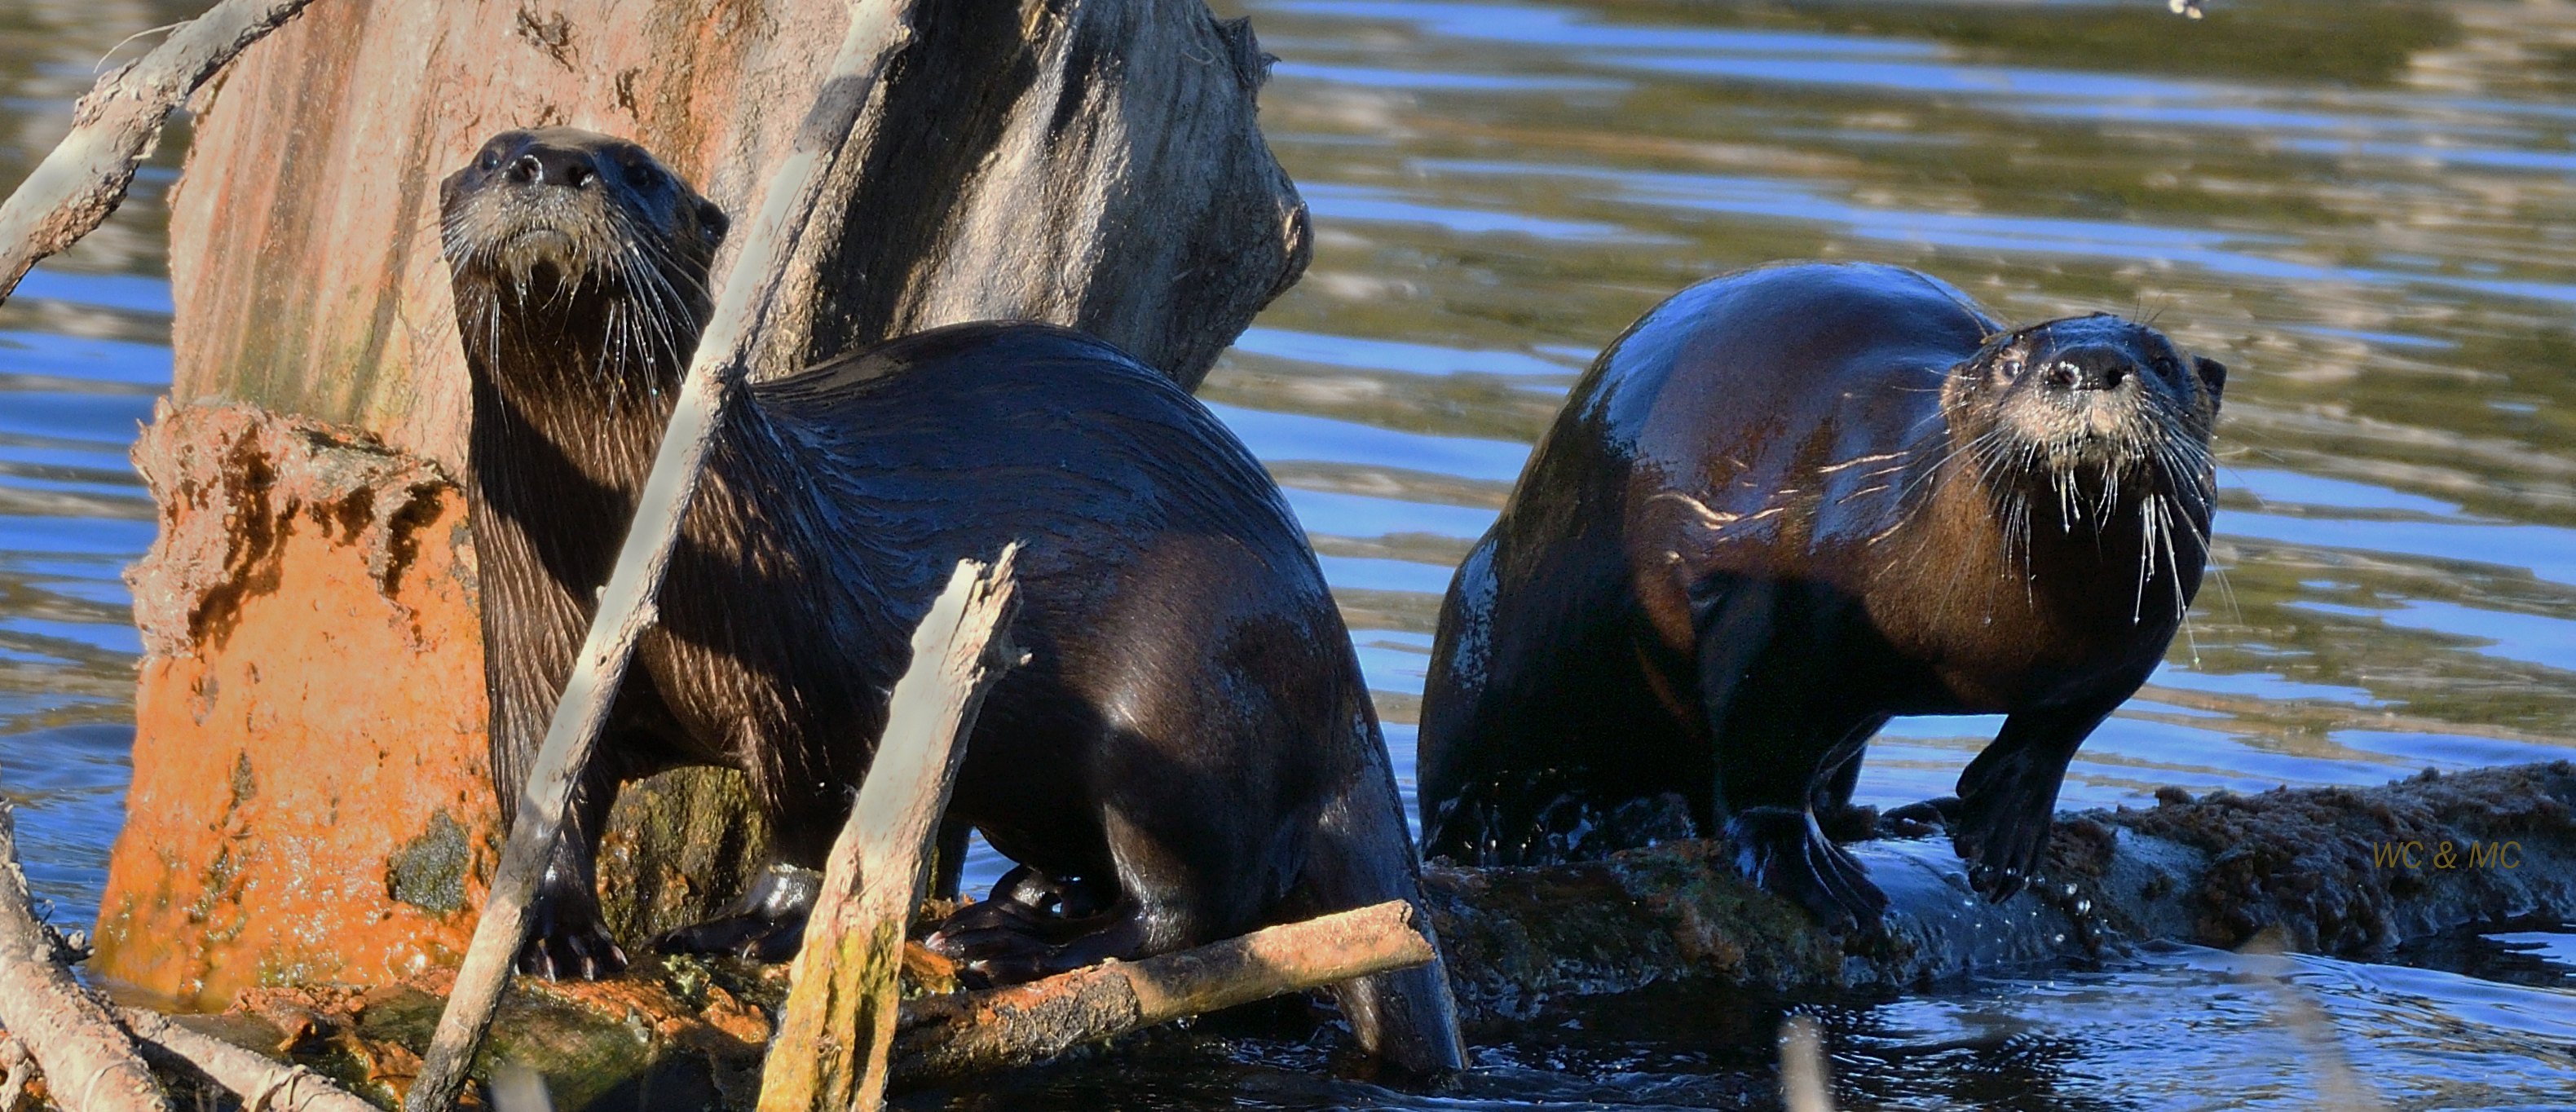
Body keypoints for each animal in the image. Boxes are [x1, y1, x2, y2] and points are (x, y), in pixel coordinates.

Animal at [432, 128, 1462, 1070]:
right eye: (492, 153)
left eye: (640, 170)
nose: (553, 167)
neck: (640, 549)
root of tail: (1341, 685)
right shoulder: (530, 639)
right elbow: (544, 792)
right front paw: (557, 933)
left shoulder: (814, 683)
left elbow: (812, 817)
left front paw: (752, 926)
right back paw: (1022, 898)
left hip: (1184, 695)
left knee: (1195, 906)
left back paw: (1012, 941)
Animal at [1422, 263, 2225, 931]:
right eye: (2012, 361)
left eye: (2162, 361)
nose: (2087, 367)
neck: (2010, 632)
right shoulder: (1776, 604)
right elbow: (1762, 738)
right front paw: (1802, 865)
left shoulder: (2137, 638)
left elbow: (2064, 725)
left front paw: (2009, 820)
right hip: (1479, 633)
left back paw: (1894, 818)